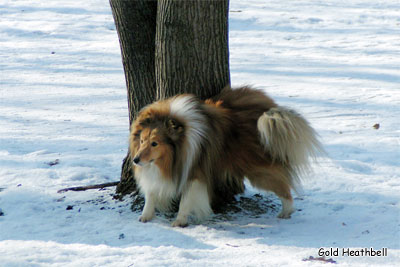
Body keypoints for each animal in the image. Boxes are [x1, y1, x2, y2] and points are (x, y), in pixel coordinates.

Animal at [130, 86, 324, 228]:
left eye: (155, 143)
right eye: (142, 140)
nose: (135, 160)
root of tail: (267, 112)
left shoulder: (194, 172)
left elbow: (185, 200)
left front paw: (179, 221)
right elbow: (151, 192)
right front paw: (145, 216)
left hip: (259, 170)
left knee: (284, 187)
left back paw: (286, 211)